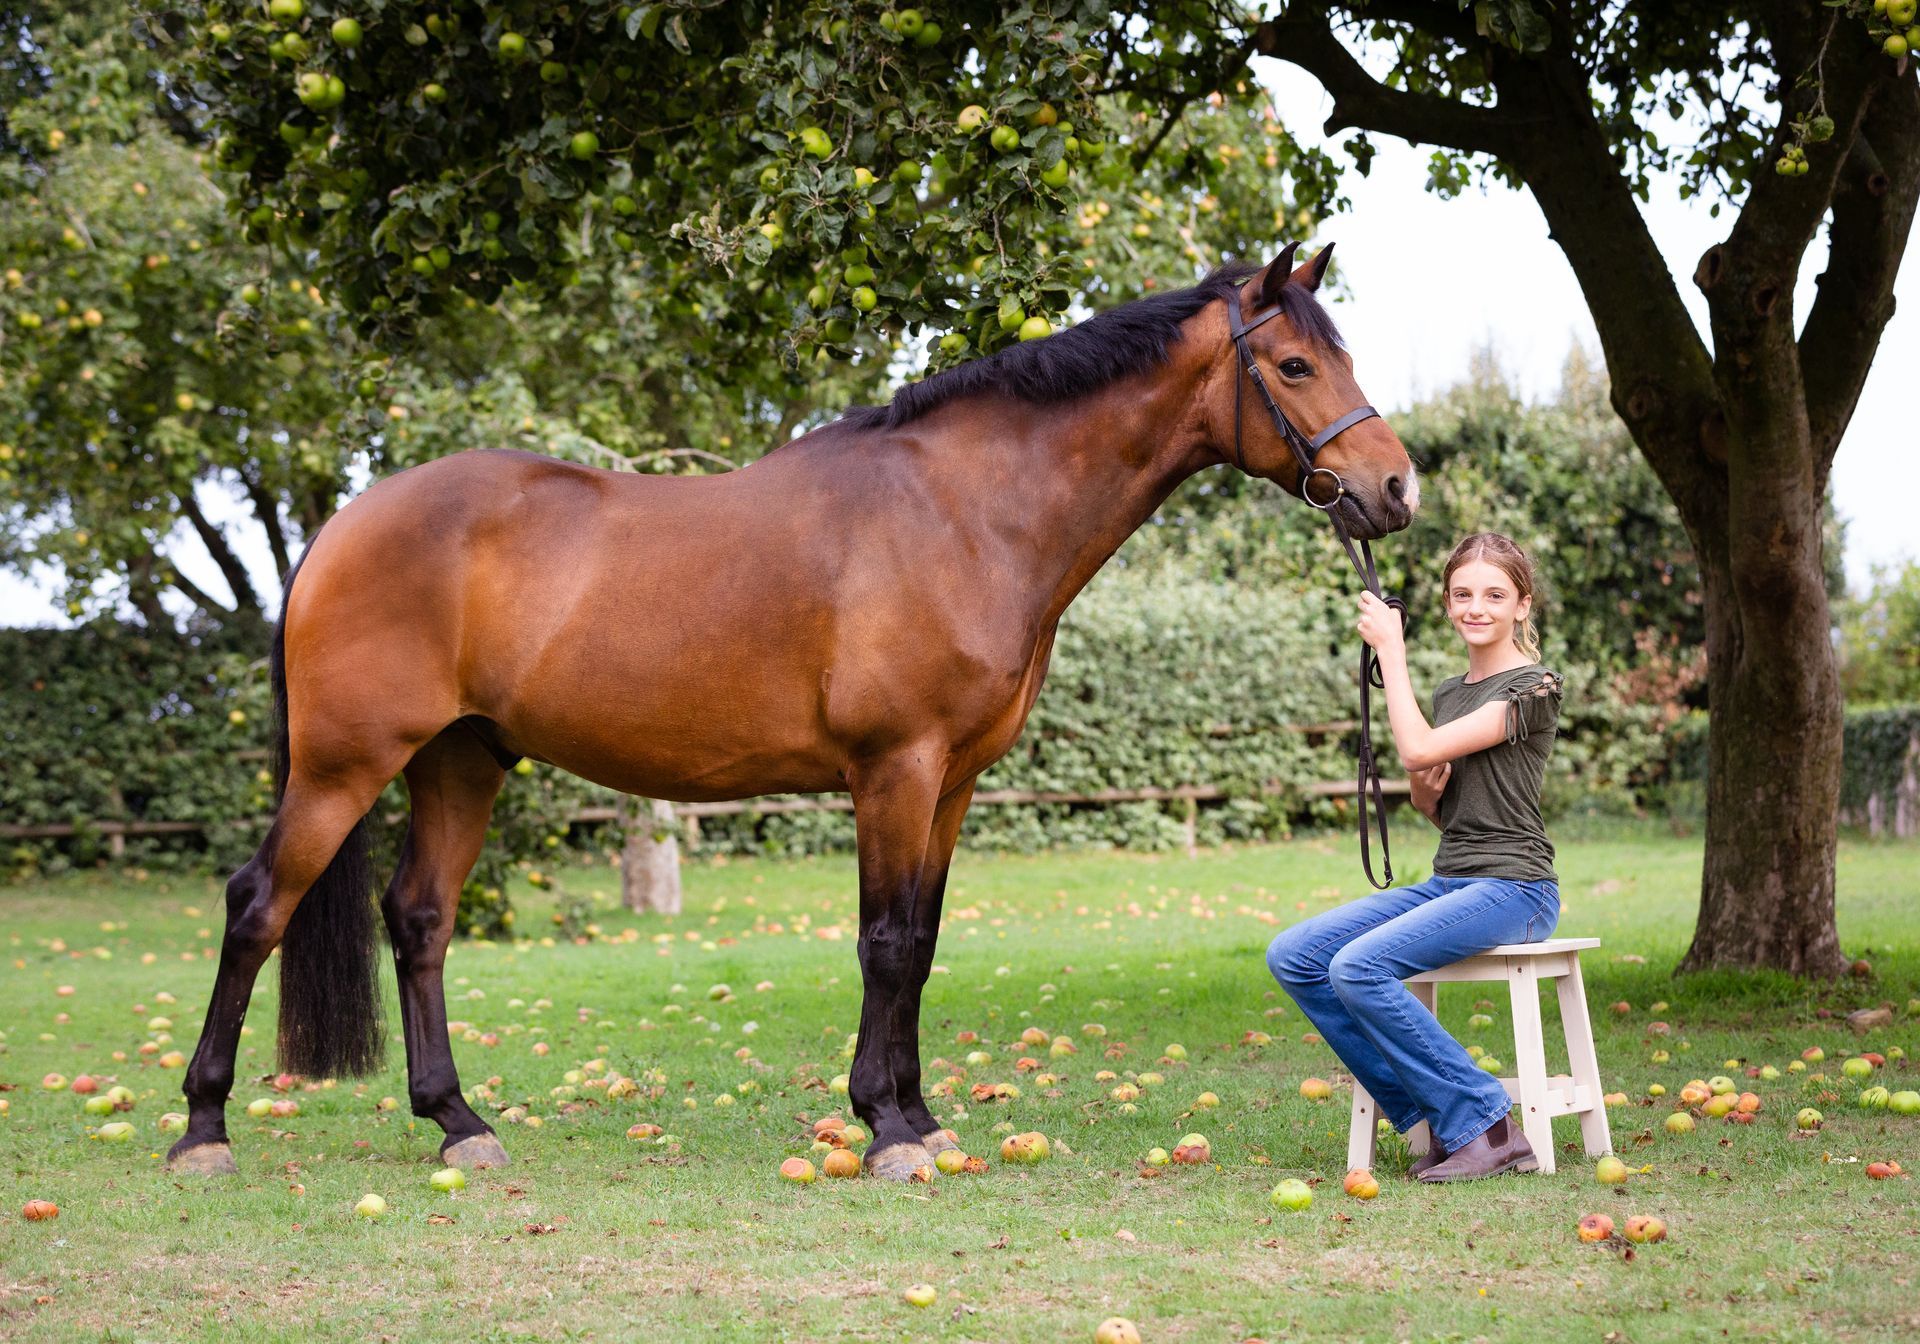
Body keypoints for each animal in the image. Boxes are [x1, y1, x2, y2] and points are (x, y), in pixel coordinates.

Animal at [165, 243, 1416, 1182]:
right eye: (1294, 364)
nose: (1396, 488)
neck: (964, 512)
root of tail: (344, 524)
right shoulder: (894, 768)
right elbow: (884, 940)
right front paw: (890, 1130)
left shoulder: (953, 779)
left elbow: (922, 943)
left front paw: (919, 1117)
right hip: (344, 763)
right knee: (256, 907)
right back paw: (203, 1131)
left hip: (461, 761)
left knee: (419, 920)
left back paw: (460, 1126)